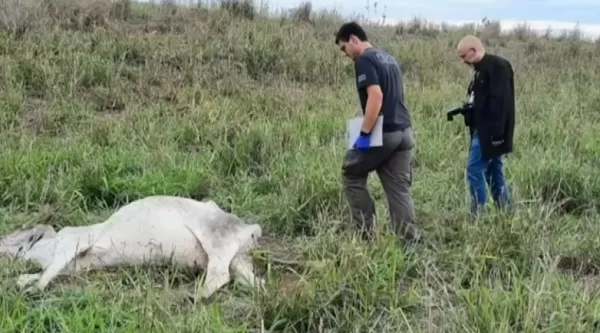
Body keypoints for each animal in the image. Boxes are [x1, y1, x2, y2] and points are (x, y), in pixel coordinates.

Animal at [0, 195, 264, 298]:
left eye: (15, 234)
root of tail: (251, 229)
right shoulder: (77, 264)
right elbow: (44, 272)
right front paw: (25, 281)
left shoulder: (72, 240)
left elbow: (48, 271)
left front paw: (33, 288)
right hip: (238, 259)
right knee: (254, 282)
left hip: (216, 237)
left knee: (219, 275)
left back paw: (193, 297)